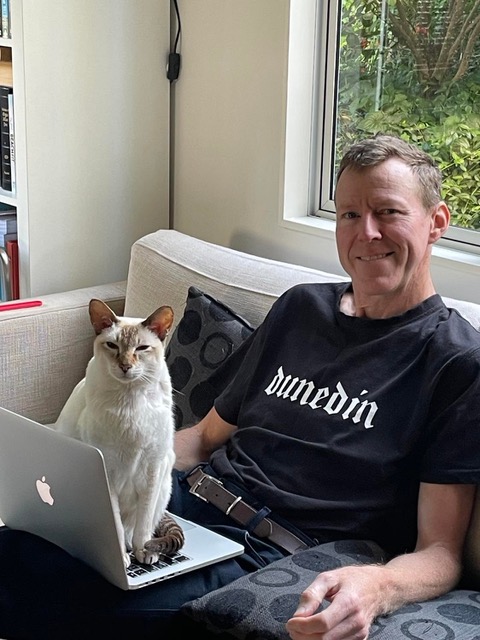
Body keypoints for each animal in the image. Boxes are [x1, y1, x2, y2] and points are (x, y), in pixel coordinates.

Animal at [54, 298, 184, 568]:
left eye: (142, 348)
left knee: (139, 526)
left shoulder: (152, 468)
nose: (125, 366)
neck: (130, 400)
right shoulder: (108, 473)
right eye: (112, 345)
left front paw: (144, 552)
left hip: (164, 482)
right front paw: (122, 558)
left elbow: (143, 526)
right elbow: (114, 522)